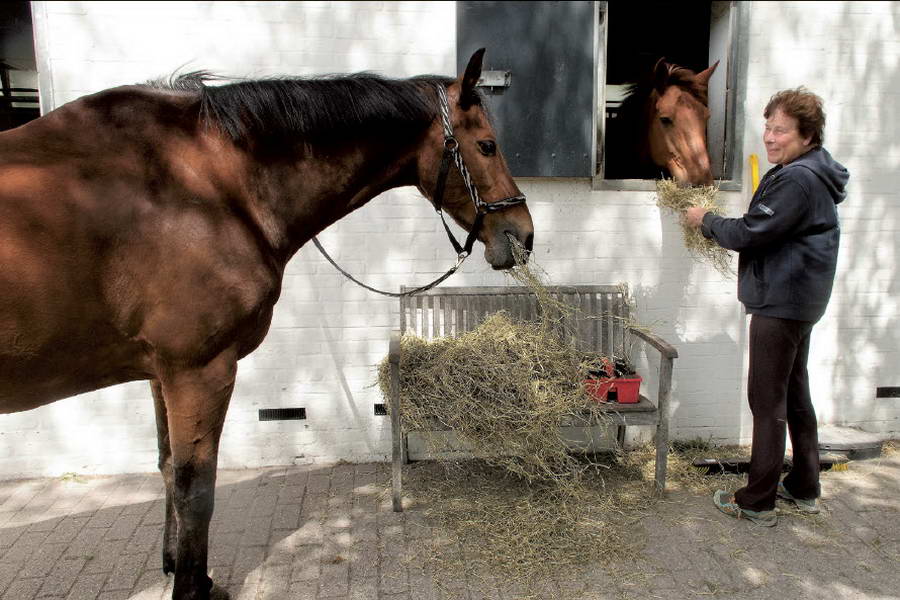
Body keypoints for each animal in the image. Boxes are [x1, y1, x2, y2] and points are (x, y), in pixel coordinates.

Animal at [0, 51, 532, 600]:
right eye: (487, 145)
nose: (524, 234)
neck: (207, 185)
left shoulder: (159, 371)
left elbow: (167, 465)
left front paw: (179, 566)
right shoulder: (198, 370)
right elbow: (196, 489)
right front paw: (193, 587)